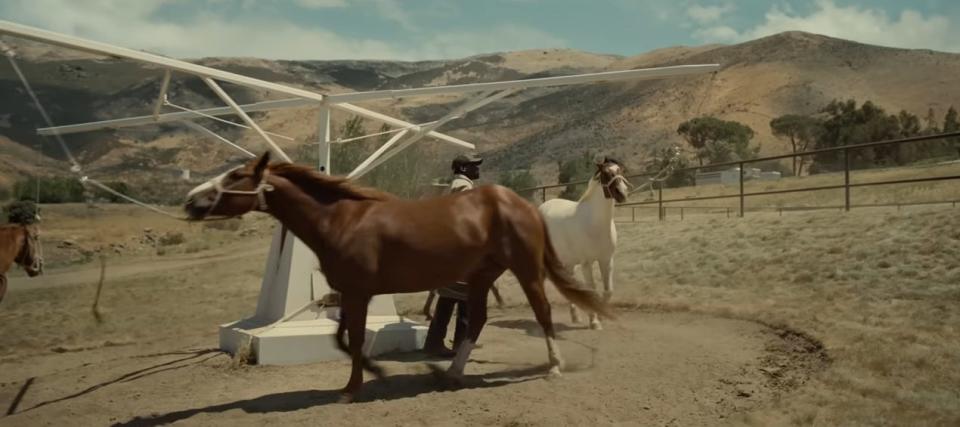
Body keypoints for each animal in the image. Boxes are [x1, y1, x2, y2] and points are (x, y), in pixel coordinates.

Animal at [184, 152, 612, 402]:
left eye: (236, 175)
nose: (190, 201)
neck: (340, 219)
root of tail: (520, 202)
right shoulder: (350, 292)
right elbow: (342, 338)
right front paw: (375, 373)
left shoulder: (358, 292)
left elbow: (355, 339)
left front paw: (353, 388)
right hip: (480, 276)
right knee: (477, 320)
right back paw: (451, 374)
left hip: (525, 269)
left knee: (542, 311)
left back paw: (554, 367)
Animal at [540, 157, 632, 332]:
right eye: (605, 173)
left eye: (620, 170)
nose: (622, 193)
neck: (594, 224)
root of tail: (541, 207)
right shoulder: (586, 263)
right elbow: (592, 291)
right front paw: (594, 322)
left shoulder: (606, 260)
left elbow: (608, 291)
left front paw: (600, 317)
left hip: (567, 261)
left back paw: (575, 317)